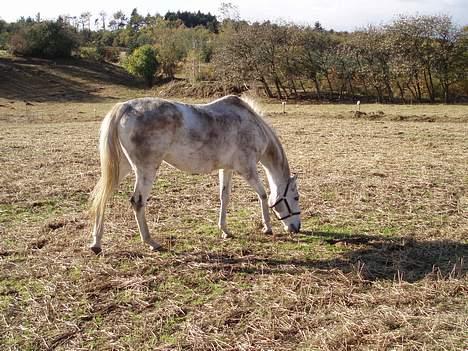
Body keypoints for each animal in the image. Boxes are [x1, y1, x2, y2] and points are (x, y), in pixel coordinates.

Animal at [89, 95, 302, 254]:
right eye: (296, 197)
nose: (297, 227)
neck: (252, 125)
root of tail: (124, 107)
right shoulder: (247, 169)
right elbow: (263, 194)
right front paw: (267, 227)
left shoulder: (227, 169)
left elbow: (224, 197)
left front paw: (225, 230)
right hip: (146, 169)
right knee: (137, 202)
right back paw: (151, 242)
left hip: (122, 167)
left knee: (103, 197)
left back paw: (96, 244)